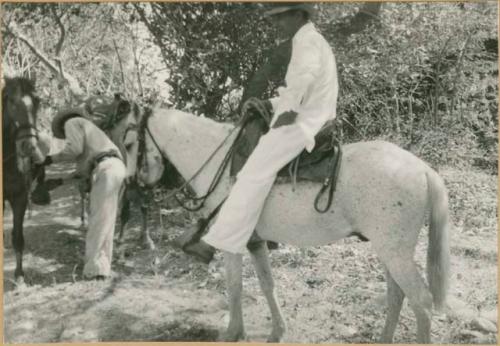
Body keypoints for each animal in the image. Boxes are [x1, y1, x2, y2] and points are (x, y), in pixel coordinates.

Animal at [116, 104, 450, 344]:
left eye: (131, 143)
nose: (129, 183)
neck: (222, 165)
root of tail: (423, 169)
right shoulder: (256, 242)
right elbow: (267, 284)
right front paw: (278, 331)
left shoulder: (232, 243)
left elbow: (234, 286)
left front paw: (233, 333)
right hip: (389, 250)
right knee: (397, 295)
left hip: (395, 252)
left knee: (421, 301)